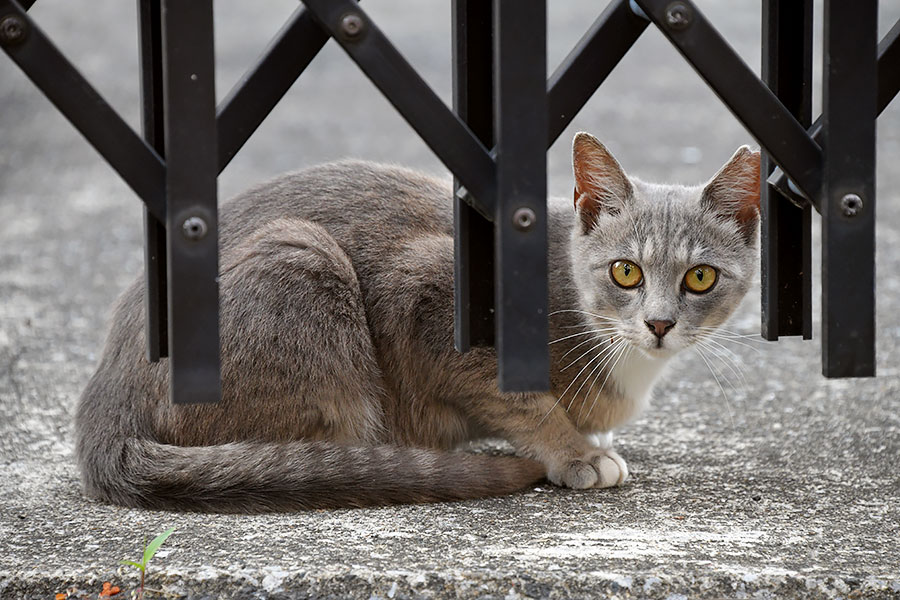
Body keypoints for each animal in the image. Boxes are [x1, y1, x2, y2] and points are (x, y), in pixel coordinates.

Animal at [75, 134, 760, 512]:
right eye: (625, 271)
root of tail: (105, 391)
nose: (659, 323)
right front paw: (575, 452)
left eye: (700, 277)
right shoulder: (430, 296)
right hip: (301, 259)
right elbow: (519, 399)